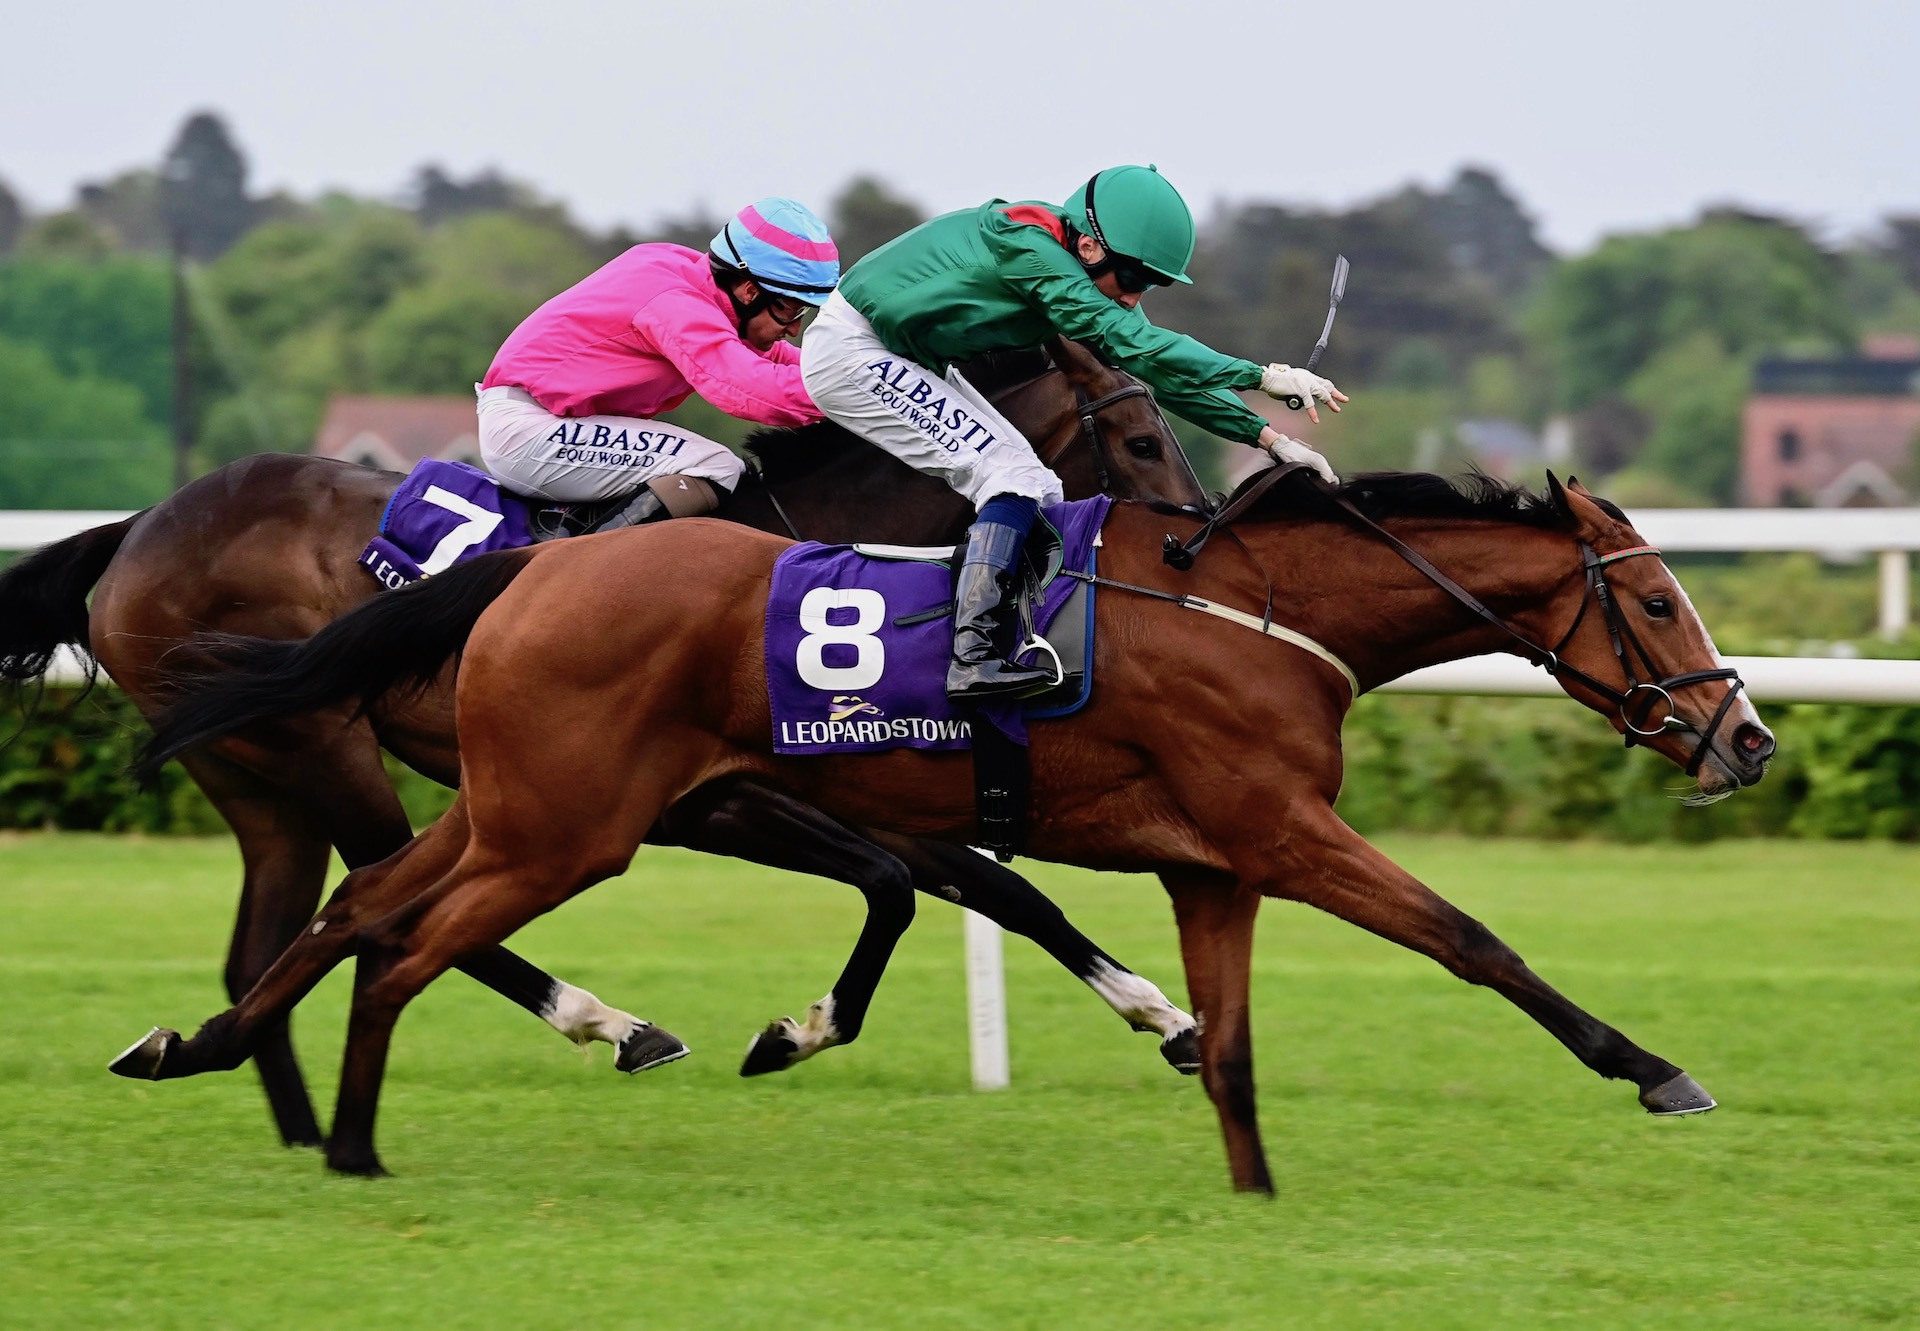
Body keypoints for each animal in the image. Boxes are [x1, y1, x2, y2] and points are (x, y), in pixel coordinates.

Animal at [0, 338, 1205, 1144]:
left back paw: (285, 1110)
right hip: (325, 752)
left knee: (290, 929)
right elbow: (895, 883)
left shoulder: (842, 785)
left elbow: (1002, 888)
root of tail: (138, 528)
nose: (1193, 539)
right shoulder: (719, 802)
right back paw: (606, 1022)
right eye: (1144, 438)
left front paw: (1168, 1014)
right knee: (391, 899)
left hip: (259, 781)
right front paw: (796, 1030)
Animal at [120, 466, 1774, 1183]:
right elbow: (1472, 936)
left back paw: (198, 1045)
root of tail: (532, 566)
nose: (1744, 736)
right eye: (1651, 599)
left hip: (520, 802)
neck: (1255, 607)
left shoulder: (1212, 861)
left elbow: (1226, 1040)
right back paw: (350, 1137)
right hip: (563, 825)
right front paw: (1656, 1068)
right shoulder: (1282, 828)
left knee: (358, 905)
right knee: (396, 945)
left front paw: (1249, 1186)